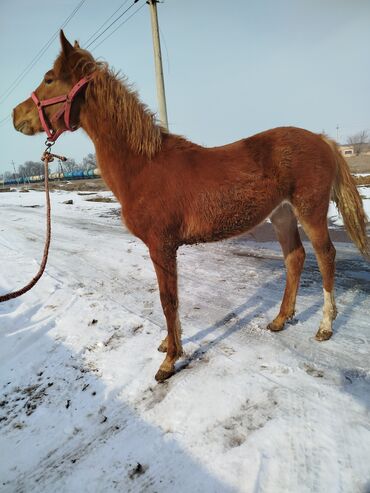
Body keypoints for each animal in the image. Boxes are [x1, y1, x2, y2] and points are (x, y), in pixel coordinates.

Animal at [13, 30, 368, 380]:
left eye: (48, 79)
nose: (16, 115)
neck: (143, 165)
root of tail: (321, 139)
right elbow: (170, 300)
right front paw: (168, 345)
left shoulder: (161, 245)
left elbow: (168, 300)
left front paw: (169, 360)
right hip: (281, 214)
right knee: (295, 257)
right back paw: (280, 319)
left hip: (310, 210)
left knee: (325, 256)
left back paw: (325, 326)